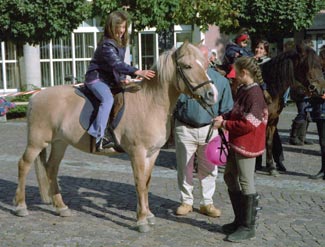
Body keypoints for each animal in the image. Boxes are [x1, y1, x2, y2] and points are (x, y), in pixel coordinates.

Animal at [12, 41, 218, 233]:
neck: (150, 103)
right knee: (23, 165)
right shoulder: (137, 153)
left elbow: (147, 182)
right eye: (187, 66)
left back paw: (61, 208)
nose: (211, 94)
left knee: (51, 169)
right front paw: (142, 221)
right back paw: (21, 206)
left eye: (205, 65)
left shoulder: (153, 153)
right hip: (37, 142)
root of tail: (35, 97)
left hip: (59, 143)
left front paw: (148, 215)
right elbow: (139, 183)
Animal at [230, 44, 324, 172]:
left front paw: (270, 166)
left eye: (320, 65)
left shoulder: (273, 120)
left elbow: (268, 141)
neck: (268, 88)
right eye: (307, 65)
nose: (321, 89)